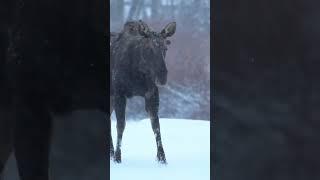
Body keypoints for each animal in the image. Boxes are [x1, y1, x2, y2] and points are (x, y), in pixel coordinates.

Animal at [109, 20, 175, 164]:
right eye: (149, 49)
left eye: (165, 49)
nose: (162, 76)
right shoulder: (119, 93)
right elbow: (120, 125)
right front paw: (117, 157)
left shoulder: (151, 93)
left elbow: (156, 125)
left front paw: (162, 158)